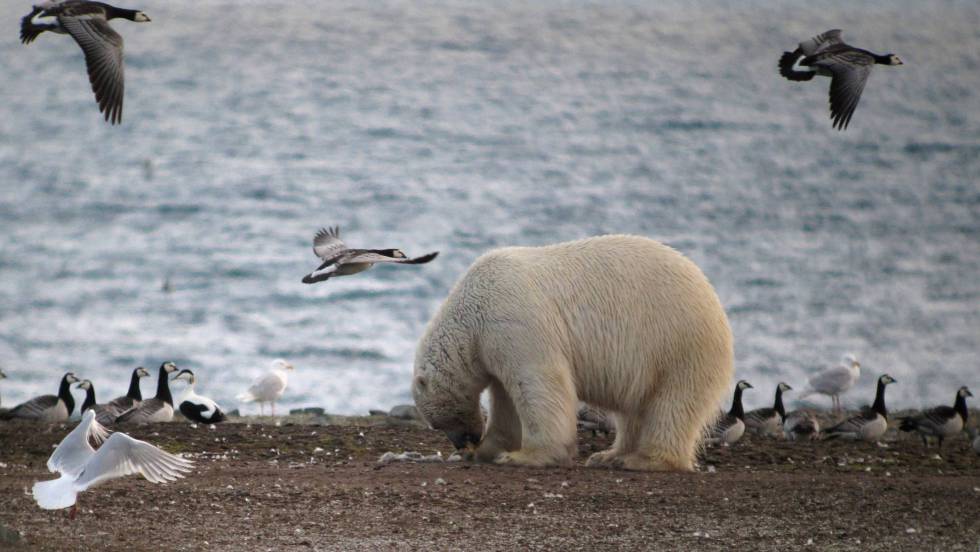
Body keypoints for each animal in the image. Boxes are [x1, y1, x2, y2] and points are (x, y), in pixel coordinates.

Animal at [410, 233, 732, 470]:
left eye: (439, 423)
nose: (463, 442)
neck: (471, 312)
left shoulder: (513, 323)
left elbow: (539, 384)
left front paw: (524, 456)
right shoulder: (495, 345)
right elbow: (507, 400)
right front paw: (489, 450)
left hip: (678, 345)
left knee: (672, 405)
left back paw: (643, 460)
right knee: (634, 409)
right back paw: (608, 456)